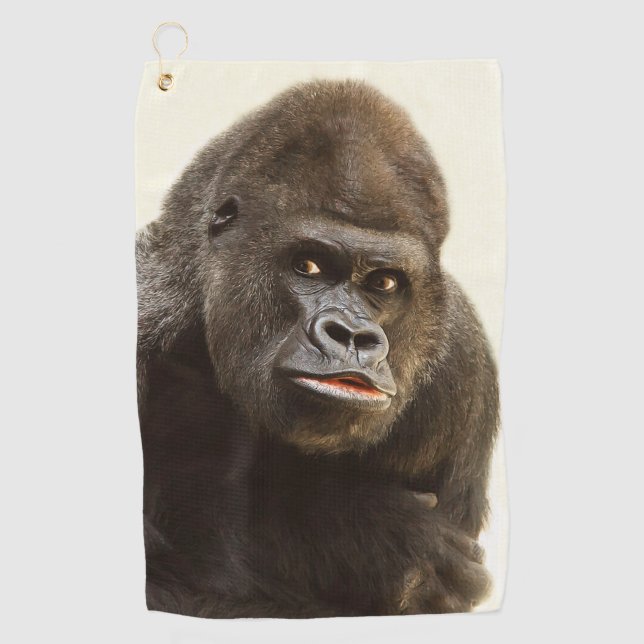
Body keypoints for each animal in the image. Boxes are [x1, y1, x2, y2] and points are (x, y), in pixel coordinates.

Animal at [136, 79, 499, 617]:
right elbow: (175, 586)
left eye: (384, 282)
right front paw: (373, 536)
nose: (350, 336)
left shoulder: (463, 367)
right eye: (307, 266)